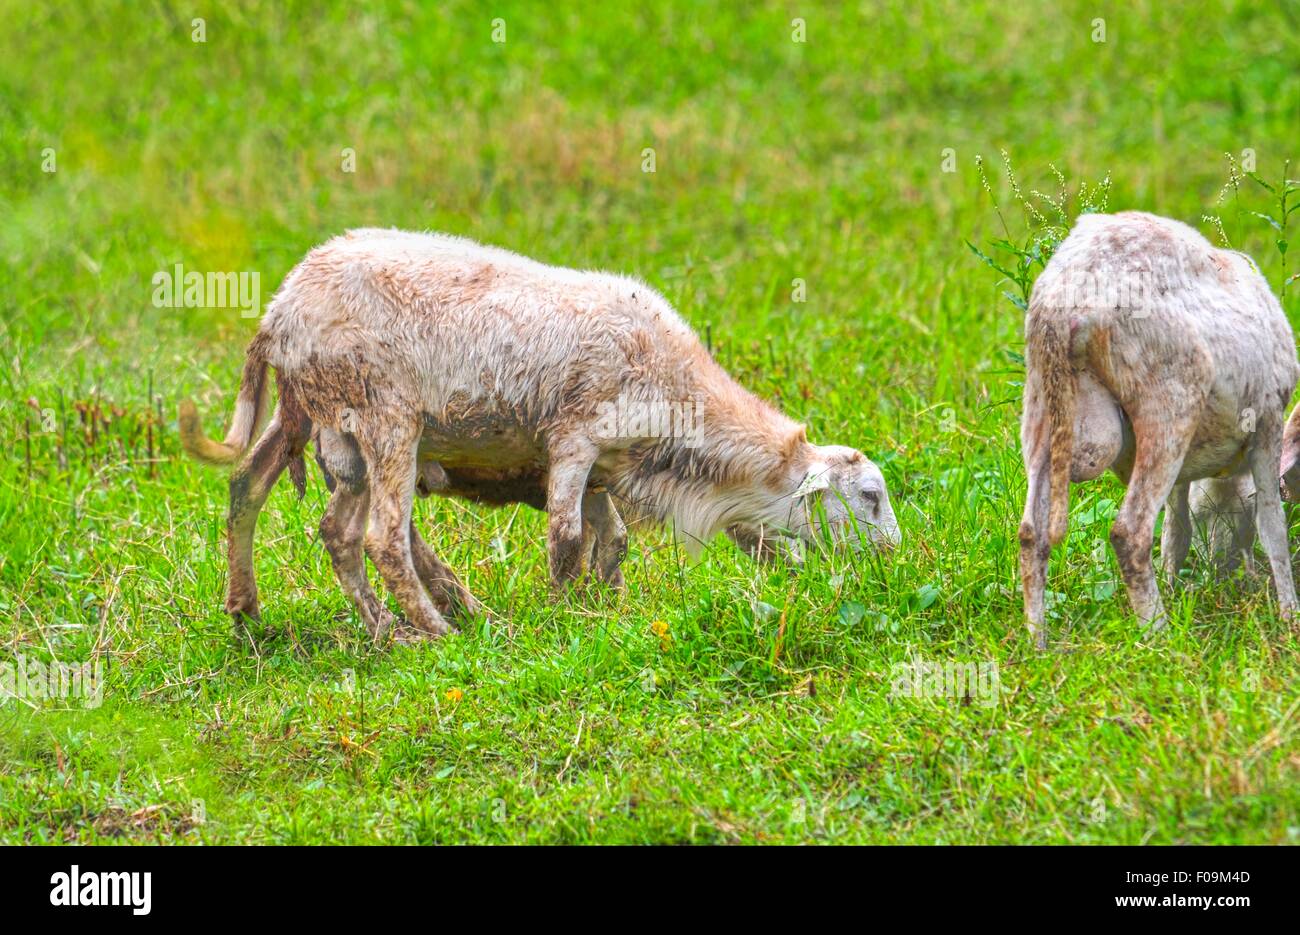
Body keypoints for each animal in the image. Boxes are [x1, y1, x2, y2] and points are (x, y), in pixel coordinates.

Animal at [180, 231, 894, 645]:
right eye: (870, 496)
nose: (894, 557)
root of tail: (279, 310)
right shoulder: (575, 438)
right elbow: (566, 536)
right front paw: (563, 617)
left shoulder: (605, 466)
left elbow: (613, 539)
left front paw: (606, 606)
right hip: (385, 418)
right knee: (380, 537)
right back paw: (434, 631)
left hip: (310, 418)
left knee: (256, 490)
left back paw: (254, 612)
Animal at [1019, 211, 1294, 650]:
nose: (1223, 571)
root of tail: (1066, 300)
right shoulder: (1267, 424)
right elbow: (1273, 527)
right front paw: (1289, 617)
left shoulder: (1187, 470)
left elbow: (1175, 531)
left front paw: (1173, 584)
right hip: (1167, 403)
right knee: (1129, 533)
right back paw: (1160, 639)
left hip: (1041, 405)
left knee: (1032, 533)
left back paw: (1037, 643)